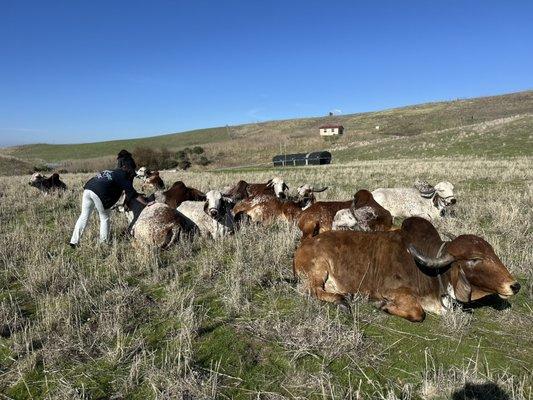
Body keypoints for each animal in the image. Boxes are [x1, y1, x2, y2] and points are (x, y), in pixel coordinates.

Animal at [290, 216, 520, 322]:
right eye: (474, 259)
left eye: (493, 253)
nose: (514, 286)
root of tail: (304, 243)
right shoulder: (391, 291)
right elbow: (418, 312)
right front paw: (383, 306)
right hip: (319, 270)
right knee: (311, 290)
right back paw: (342, 300)